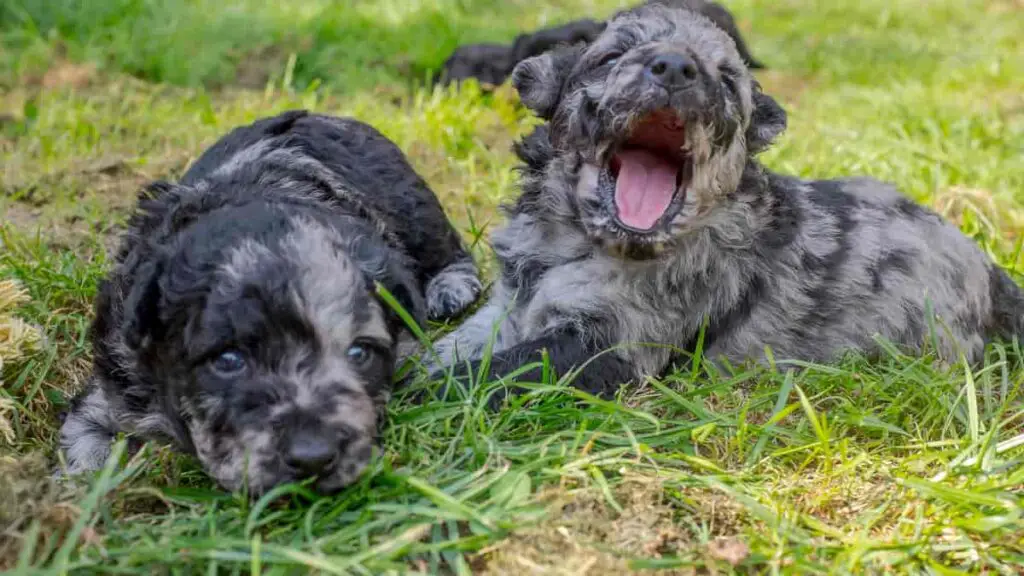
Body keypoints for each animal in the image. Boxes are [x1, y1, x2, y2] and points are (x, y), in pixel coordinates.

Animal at [58, 109, 481, 491]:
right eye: (228, 361)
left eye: (358, 353)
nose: (314, 457)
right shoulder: (113, 380)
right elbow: (82, 433)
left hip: (411, 202)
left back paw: (451, 287)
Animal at [421, 4, 1024, 399]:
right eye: (610, 56)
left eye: (728, 79)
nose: (674, 67)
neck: (573, 243)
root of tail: (994, 275)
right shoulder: (506, 306)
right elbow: (453, 346)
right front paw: (419, 366)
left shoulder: (614, 343)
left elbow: (495, 371)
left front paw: (411, 398)